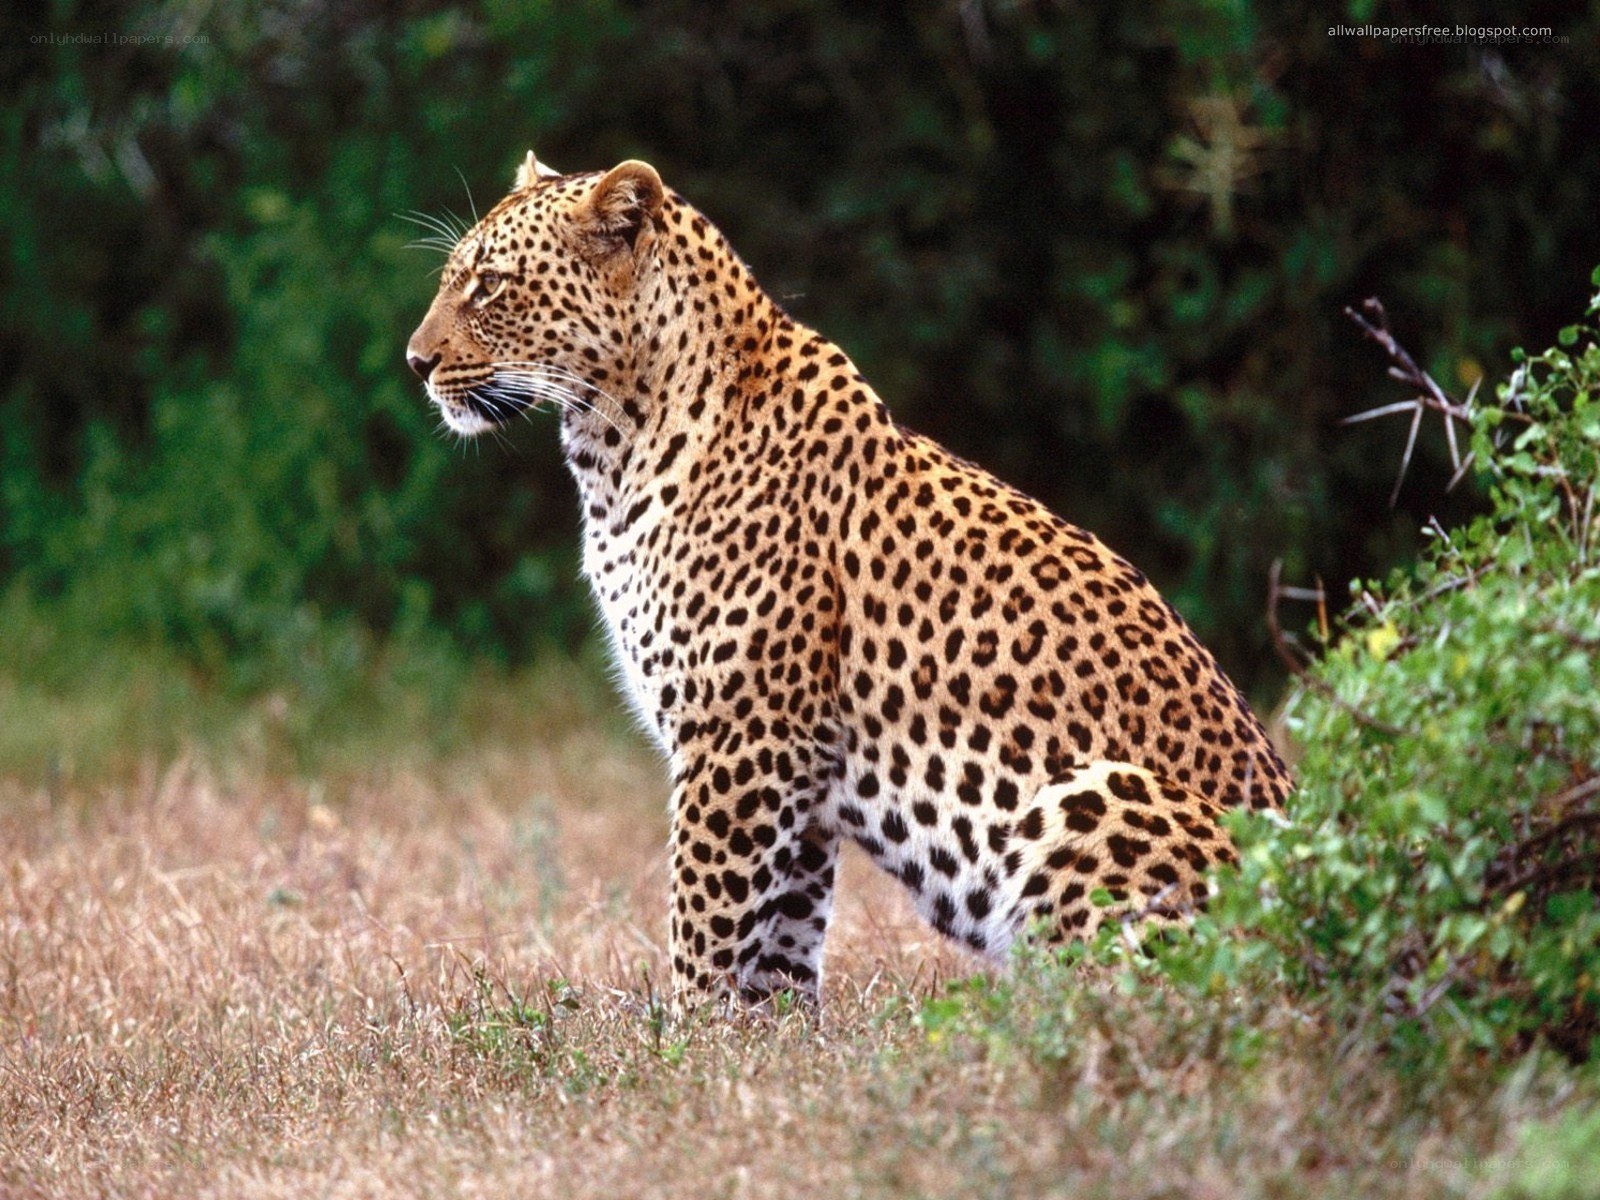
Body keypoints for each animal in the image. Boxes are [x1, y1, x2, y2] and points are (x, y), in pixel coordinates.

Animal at [406, 150, 1293, 1007]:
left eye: (491, 284)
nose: (416, 362)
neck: (612, 448)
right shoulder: (798, 775)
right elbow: (780, 944)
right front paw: (763, 1046)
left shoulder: (742, 738)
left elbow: (704, 922)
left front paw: (681, 1042)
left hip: (1100, 795)